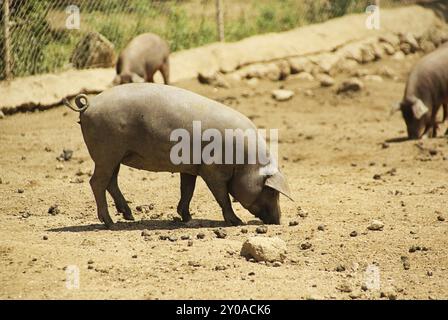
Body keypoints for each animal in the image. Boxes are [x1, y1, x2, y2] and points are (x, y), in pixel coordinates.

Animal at [64, 83, 294, 228]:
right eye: (270, 190)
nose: (279, 220)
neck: (245, 163)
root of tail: (88, 105)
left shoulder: (191, 167)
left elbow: (187, 191)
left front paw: (186, 217)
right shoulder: (213, 171)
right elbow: (222, 197)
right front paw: (237, 222)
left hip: (115, 156)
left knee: (111, 181)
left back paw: (129, 216)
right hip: (106, 152)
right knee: (96, 182)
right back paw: (110, 223)